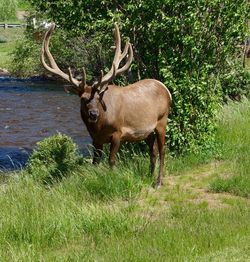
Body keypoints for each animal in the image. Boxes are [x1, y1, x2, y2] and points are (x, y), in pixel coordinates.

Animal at [40, 22, 172, 186]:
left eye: (98, 97)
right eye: (82, 98)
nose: (93, 113)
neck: (100, 125)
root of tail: (166, 90)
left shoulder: (117, 133)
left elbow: (111, 161)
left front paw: (113, 180)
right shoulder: (95, 139)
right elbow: (95, 162)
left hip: (162, 120)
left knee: (162, 149)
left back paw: (159, 181)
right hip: (147, 131)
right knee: (152, 150)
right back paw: (149, 175)